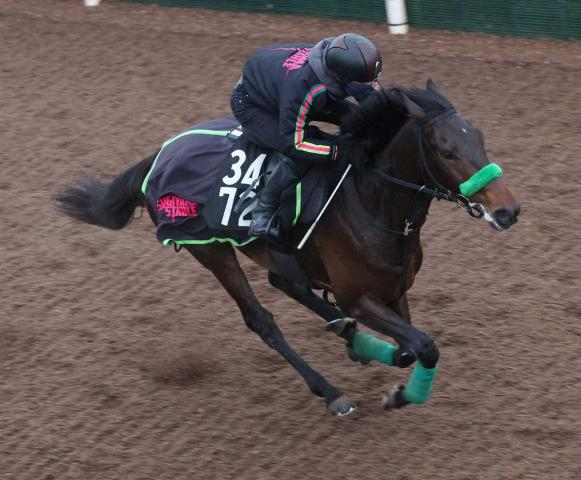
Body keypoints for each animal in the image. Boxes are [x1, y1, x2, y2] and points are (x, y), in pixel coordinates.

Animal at [55, 81, 516, 416]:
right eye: (447, 151)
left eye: (480, 139)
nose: (508, 210)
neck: (372, 205)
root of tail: (161, 153)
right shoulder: (359, 296)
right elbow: (423, 346)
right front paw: (398, 394)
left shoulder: (393, 290)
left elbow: (408, 348)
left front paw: (367, 351)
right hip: (209, 248)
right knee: (261, 319)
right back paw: (331, 391)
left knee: (286, 281)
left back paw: (348, 337)